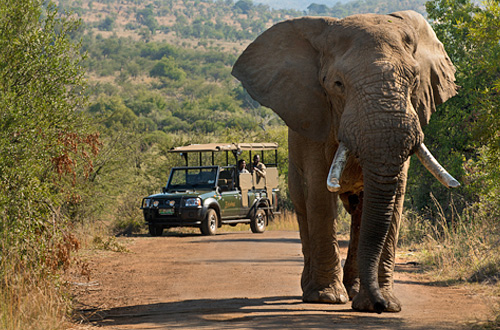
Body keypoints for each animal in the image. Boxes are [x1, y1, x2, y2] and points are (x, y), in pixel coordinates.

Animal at [232, 10, 458, 314]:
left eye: (413, 81)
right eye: (337, 84)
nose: (378, 305)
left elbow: (395, 197)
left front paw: (386, 304)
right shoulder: (314, 116)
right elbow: (319, 193)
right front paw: (326, 297)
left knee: (360, 210)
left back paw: (353, 291)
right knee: (304, 204)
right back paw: (313, 289)